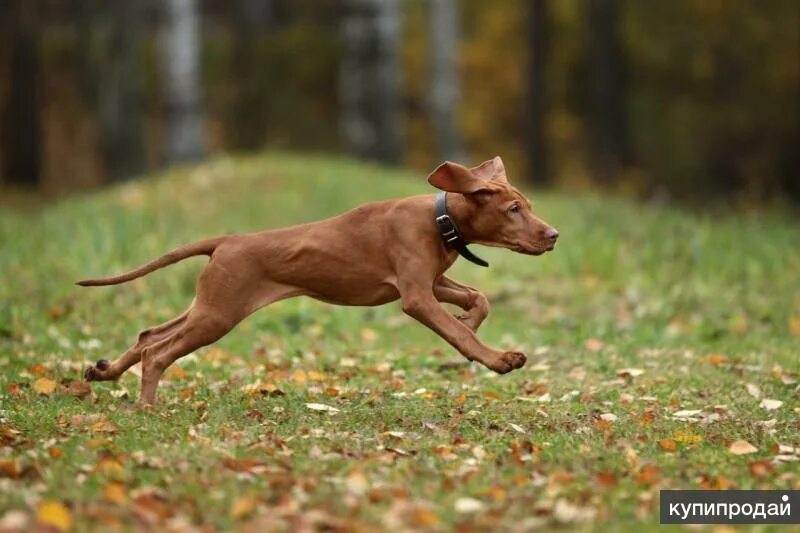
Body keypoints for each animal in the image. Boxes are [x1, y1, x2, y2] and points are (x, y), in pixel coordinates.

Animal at [79, 158, 556, 404]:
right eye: (514, 210)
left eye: (528, 206)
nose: (553, 235)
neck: (441, 220)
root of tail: (227, 241)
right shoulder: (416, 296)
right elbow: (459, 333)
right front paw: (496, 358)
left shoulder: (430, 282)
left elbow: (478, 299)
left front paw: (472, 320)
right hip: (218, 312)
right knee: (158, 351)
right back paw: (147, 406)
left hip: (209, 305)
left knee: (149, 335)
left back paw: (103, 372)